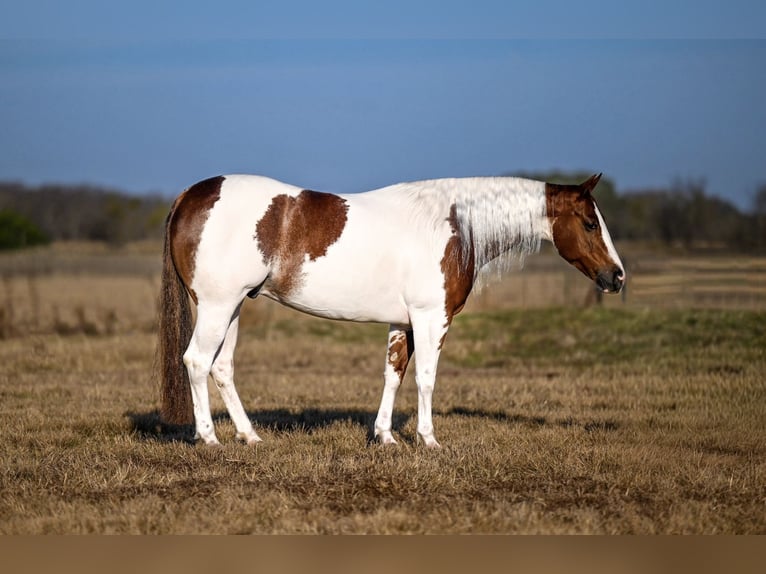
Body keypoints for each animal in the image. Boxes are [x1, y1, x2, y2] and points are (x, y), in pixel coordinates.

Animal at [157, 173, 625, 447]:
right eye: (590, 223)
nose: (617, 277)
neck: (453, 225)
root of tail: (190, 194)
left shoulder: (403, 322)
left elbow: (394, 374)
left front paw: (384, 436)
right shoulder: (431, 317)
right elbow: (426, 378)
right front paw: (428, 440)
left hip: (233, 307)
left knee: (221, 368)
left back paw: (250, 436)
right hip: (218, 306)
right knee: (196, 361)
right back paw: (209, 438)